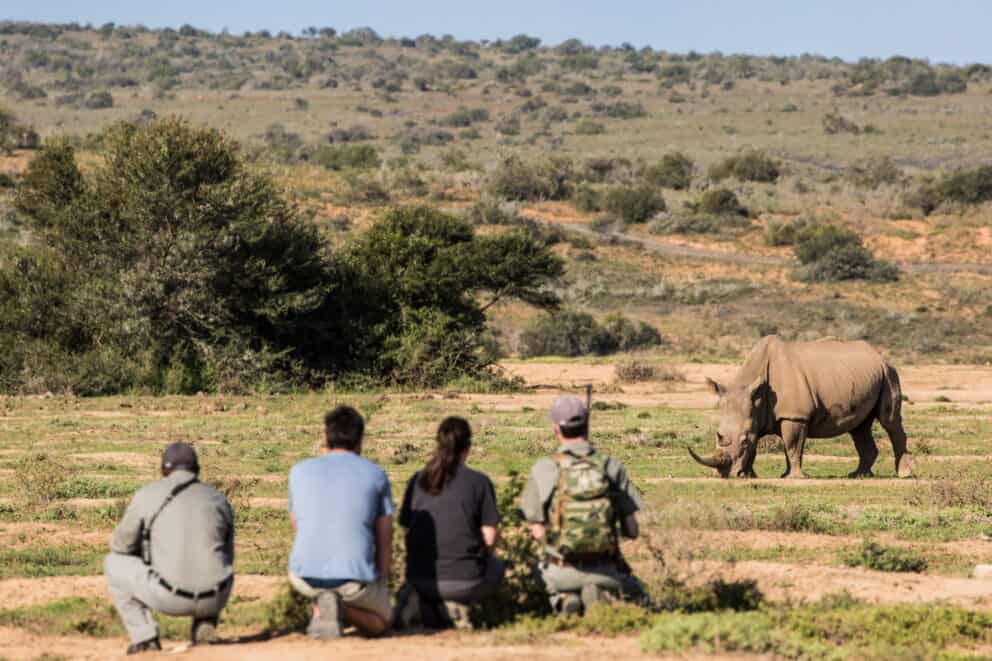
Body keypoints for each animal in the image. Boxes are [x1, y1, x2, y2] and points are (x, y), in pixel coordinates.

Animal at [688, 336, 912, 479]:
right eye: (717, 436)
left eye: (743, 441)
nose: (725, 474)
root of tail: (880, 356)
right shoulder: (757, 415)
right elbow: (768, 446)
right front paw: (751, 475)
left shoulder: (795, 416)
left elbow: (792, 446)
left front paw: (794, 477)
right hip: (866, 377)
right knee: (860, 427)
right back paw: (859, 475)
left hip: (888, 374)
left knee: (889, 421)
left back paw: (904, 474)